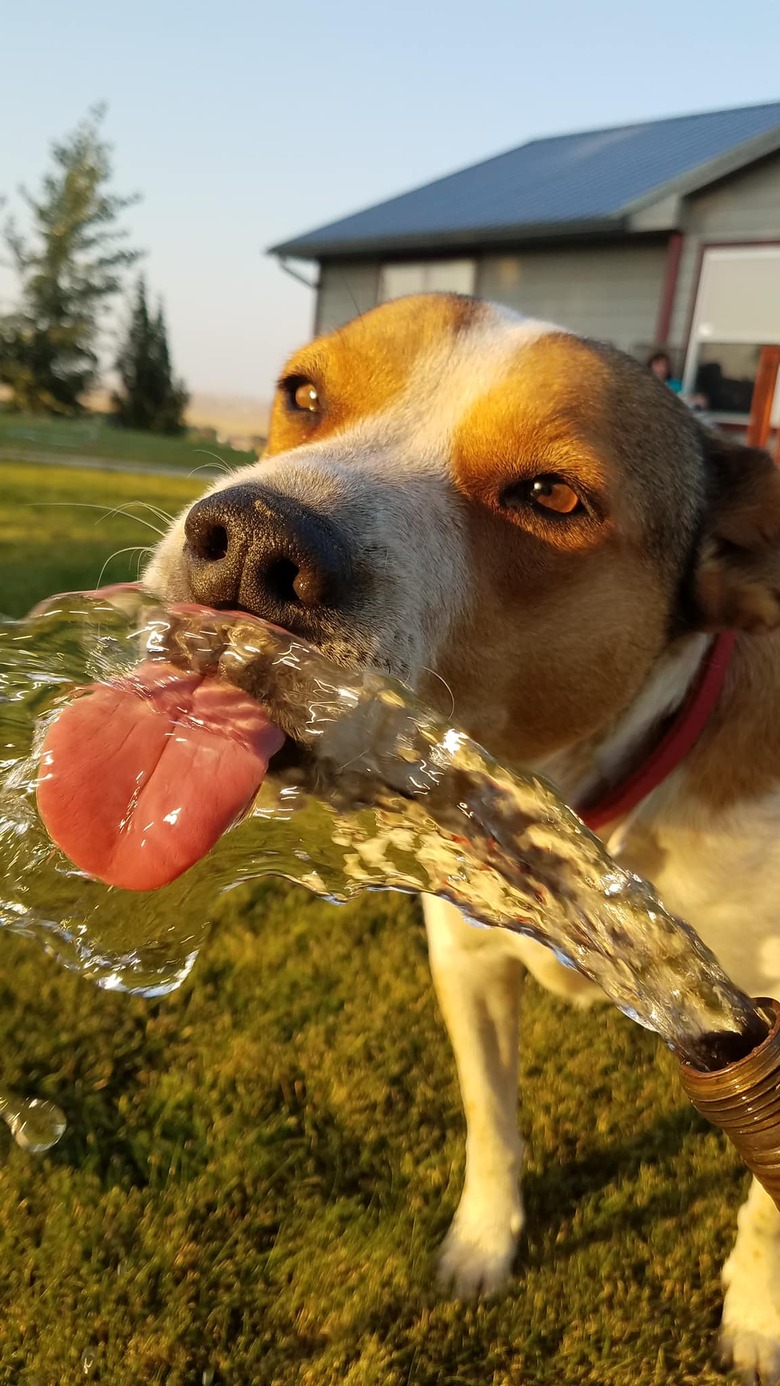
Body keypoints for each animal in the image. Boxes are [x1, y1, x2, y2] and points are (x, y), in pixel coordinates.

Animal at [146, 295, 780, 1386]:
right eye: (302, 395)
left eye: (551, 496)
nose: (249, 545)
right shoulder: (467, 960)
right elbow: (491, 1119)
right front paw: (485, 1242)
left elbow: (771, 1209)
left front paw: (758, 1313)